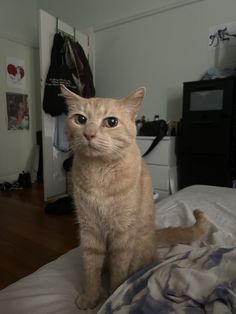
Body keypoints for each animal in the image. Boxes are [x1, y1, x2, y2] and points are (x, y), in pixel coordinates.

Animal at [61, 85, 208, 310]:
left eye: (111, 122)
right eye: (80, 119)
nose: (88, 133)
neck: (99, 173)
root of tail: (154, 238)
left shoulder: (123, 234)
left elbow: (119, 272)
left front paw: (111, 297)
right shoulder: (90, 231)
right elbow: (91, 269)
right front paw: (92, 296)